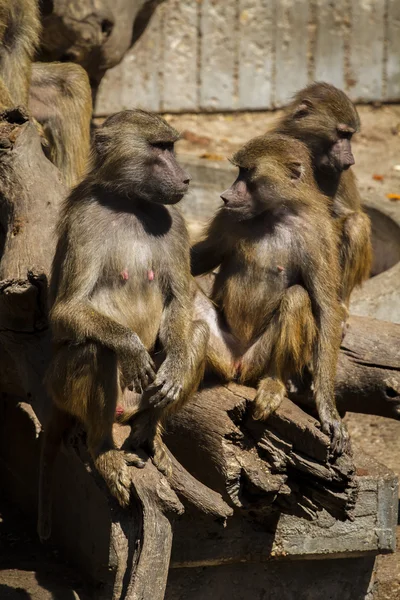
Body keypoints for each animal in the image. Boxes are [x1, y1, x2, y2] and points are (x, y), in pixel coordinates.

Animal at [38, 110, 209, 540]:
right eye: (159, 147)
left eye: (171, 145)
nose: (185, 179)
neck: (130, 203)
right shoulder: (84, 220)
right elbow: (66, 310)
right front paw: (131, 347)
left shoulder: (175, 222)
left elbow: (180, 300)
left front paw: (175, 366)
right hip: (61, 387)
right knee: (94, 348)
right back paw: (105, 453)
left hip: (140, 402)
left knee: (196, 332)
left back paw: (149, 434)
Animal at [191, 134, 346, 454]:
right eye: (238, 170)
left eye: (247, 172)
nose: (225, 196)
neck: (275, 214)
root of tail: (236, 365)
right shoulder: (227, 217)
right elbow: (202, 258)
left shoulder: (319, 234)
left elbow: (326, 308)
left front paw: (328, 410)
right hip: (221, 348)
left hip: (257, 360)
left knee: (297, 297)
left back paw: (274, 384)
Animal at [276, 82, 372, 312]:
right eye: (342, 133)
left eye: (350, 136)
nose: (350, 160)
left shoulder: (339, 175)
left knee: (356, 224)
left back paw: (340, 303)